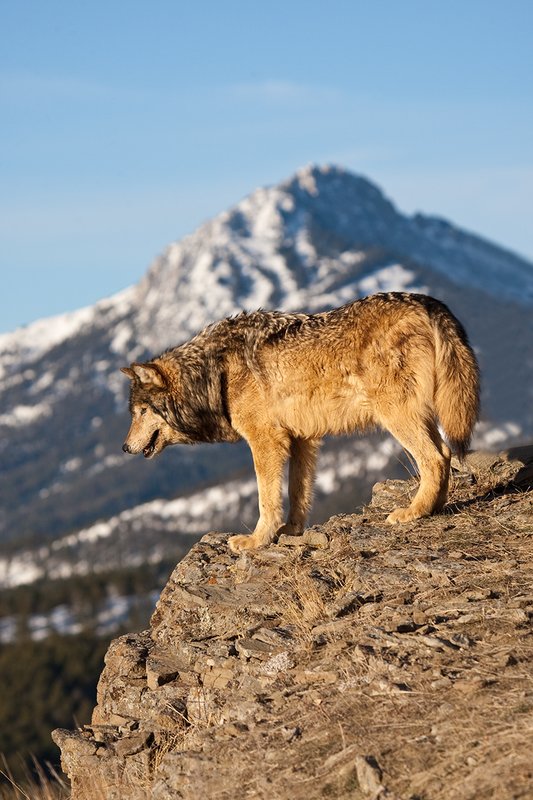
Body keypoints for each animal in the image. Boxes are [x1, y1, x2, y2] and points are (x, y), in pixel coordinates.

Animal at [121, 292, 480, 552]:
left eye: (140, 412)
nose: (124, 448)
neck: (214, 372)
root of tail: (428, 302)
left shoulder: (265, 441)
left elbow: (266, 498)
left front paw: (256, 541)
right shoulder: (302, 439)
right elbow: (298, 492)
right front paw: (291, 531)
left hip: (396, 415)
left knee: (434, 458)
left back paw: (413, 512)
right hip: (420, 416)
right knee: (446, 454)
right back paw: (435, 507)